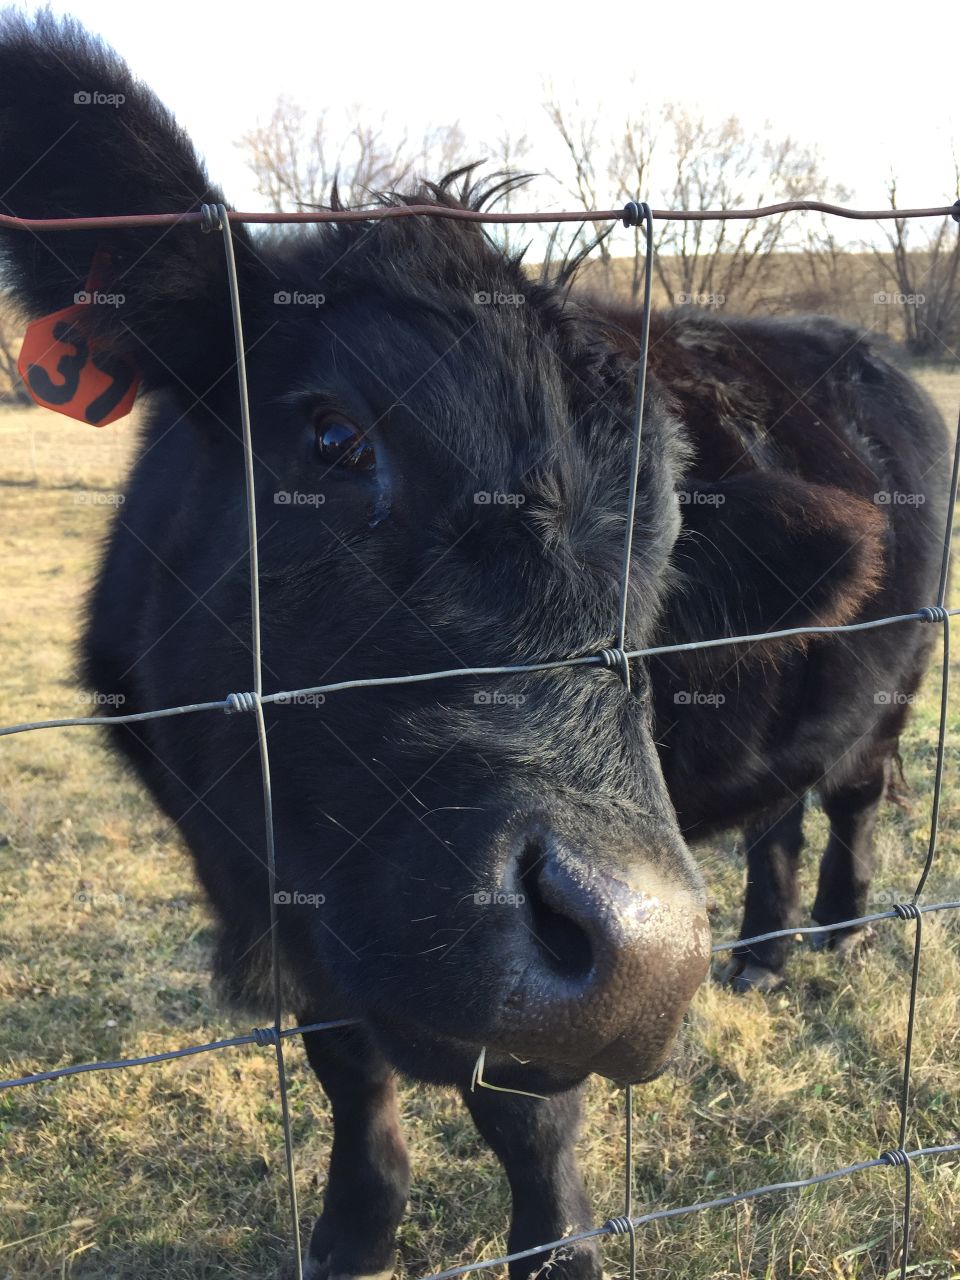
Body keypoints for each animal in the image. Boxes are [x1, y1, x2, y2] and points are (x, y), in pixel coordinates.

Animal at [0, 12, 947, 1280]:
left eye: (666, 542)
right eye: (334, 434)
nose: (654, 950)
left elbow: (527, 1110)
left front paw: (554, 1249)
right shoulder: (293, 896)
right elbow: (348, 1066)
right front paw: (354, 1231)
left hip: (895, 686)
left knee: (851, 796)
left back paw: (835, 934)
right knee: (780, 808)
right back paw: (760, 950)